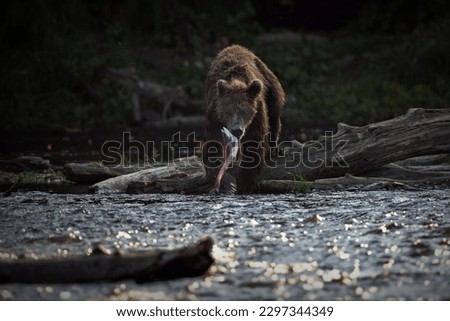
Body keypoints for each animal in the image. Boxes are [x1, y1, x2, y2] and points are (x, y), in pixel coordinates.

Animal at [201, 44, 284, 192]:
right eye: (228, 111)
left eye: (244, 112)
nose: (237, 130)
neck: (235, 82)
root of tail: (236, 46)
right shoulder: (215, 116)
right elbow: (212, 146)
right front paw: (227, 184)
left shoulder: (256, 115)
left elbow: (254, 144)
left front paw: (243, 184)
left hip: (269, 84)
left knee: (274, 113)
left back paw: (274, 150)